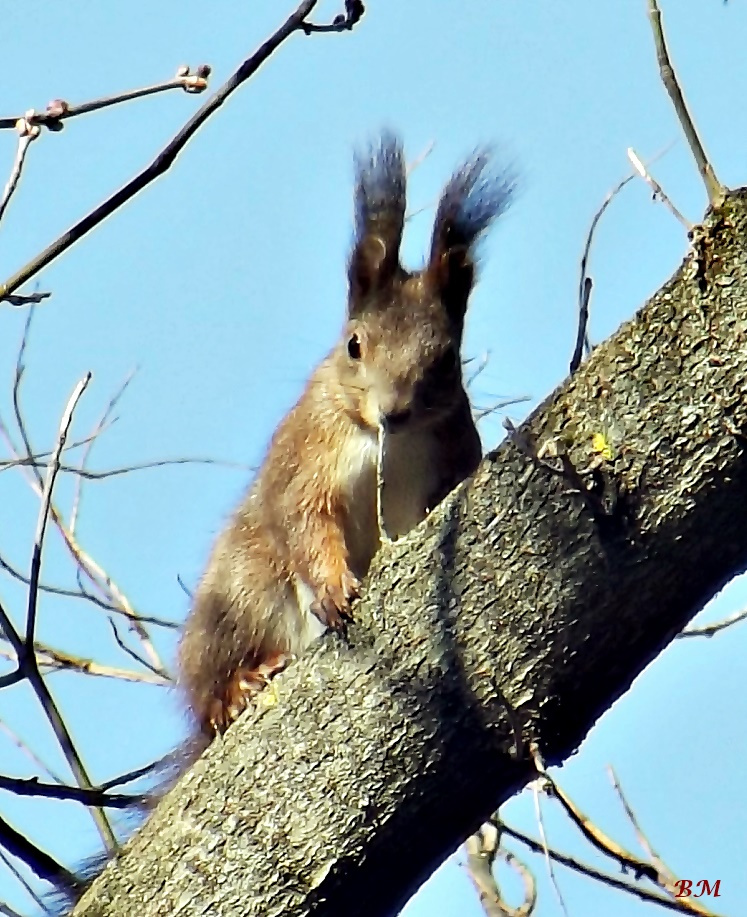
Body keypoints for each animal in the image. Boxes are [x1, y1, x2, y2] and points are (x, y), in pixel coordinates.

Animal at [178, 134, 512, 736]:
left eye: (447, 358)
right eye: (354, 345)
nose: (394, 412)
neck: (386, 444)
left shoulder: (452, 457)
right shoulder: (305, 457)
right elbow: (303, 519)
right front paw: (334, 589)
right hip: (239, 595)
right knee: (209, 686)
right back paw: (237, 689)